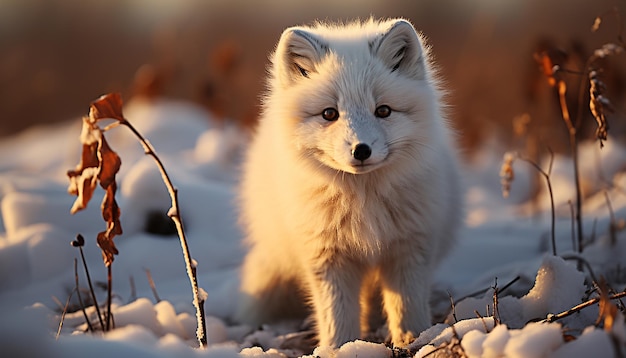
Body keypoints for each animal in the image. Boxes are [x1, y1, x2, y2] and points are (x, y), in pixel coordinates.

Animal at [236, 18, 460, 348]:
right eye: (330, 113)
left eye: (383, 110)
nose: (361, 150)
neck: (363, 203)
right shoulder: (327, 257)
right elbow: (336, 314)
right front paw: (340, 348)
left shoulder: (409, 249)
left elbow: (406, 306)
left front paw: (413, 339)